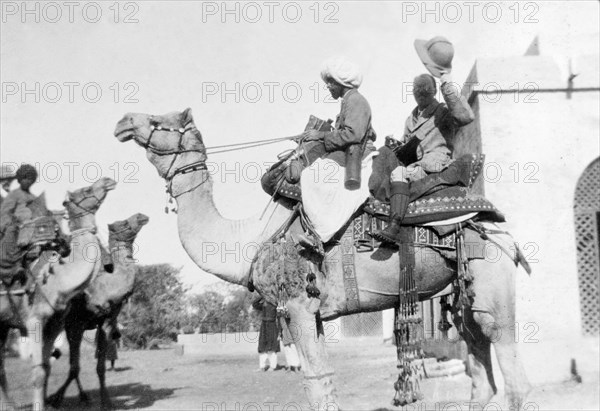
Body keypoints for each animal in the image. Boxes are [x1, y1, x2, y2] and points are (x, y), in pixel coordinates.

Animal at [15, 179, 116, 410]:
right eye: (86, 190)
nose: (108, 181)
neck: (59, 281)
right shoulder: (35, 320)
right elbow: (39, 373)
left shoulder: (55, 324)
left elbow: (47, 369)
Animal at [47, 212, 150, 408]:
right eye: (123, 224)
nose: (142, 216)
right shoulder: (75, 324)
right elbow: (74, 367)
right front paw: (55, 398)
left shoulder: (106, 323)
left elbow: (100, 367)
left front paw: (106, 402)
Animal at [112, 108, 528, 410]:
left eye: (160, 121)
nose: (123, 122)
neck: (251, 237)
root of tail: (497, 224)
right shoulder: (313, 312)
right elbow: (326, 377)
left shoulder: (295, 305)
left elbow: (313, 382)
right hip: (464, 295)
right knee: (480, 373)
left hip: (492, 279)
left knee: (511, 372)